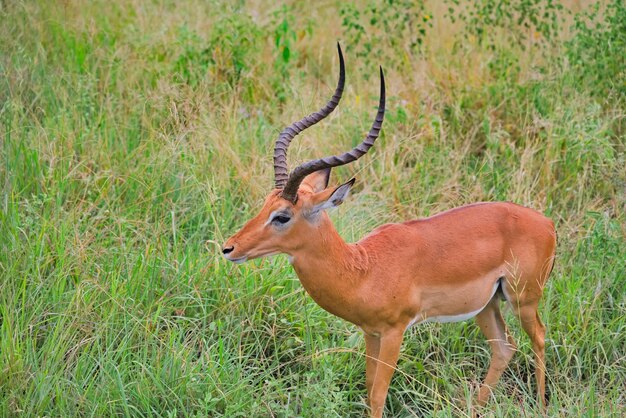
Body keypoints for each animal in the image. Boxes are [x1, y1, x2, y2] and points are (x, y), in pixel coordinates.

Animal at [222, 44, 552, 416]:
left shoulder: (395, 331)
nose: (229, 248)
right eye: (265, 203)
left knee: (539, 338)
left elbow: (379, 393)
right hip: (487, 305)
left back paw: (542, 405)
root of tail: (547, 224)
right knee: (504, 347)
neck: (363, 269)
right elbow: (368, 389)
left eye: (282, 216)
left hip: (523, 299)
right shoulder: (371, 332)